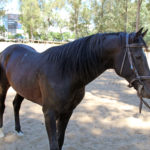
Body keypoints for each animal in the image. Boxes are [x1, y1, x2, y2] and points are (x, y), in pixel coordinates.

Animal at [0, 28, 150, 150]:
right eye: (138, 57)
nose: (147, 90)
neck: (64, 72)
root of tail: (8, 50)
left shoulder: (67, 112)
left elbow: (60, 141)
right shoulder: (49, 113)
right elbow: (54, 144)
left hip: (22, 88)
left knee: (16, 104)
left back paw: (18, 130)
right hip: (3, 87)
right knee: (3, 106)